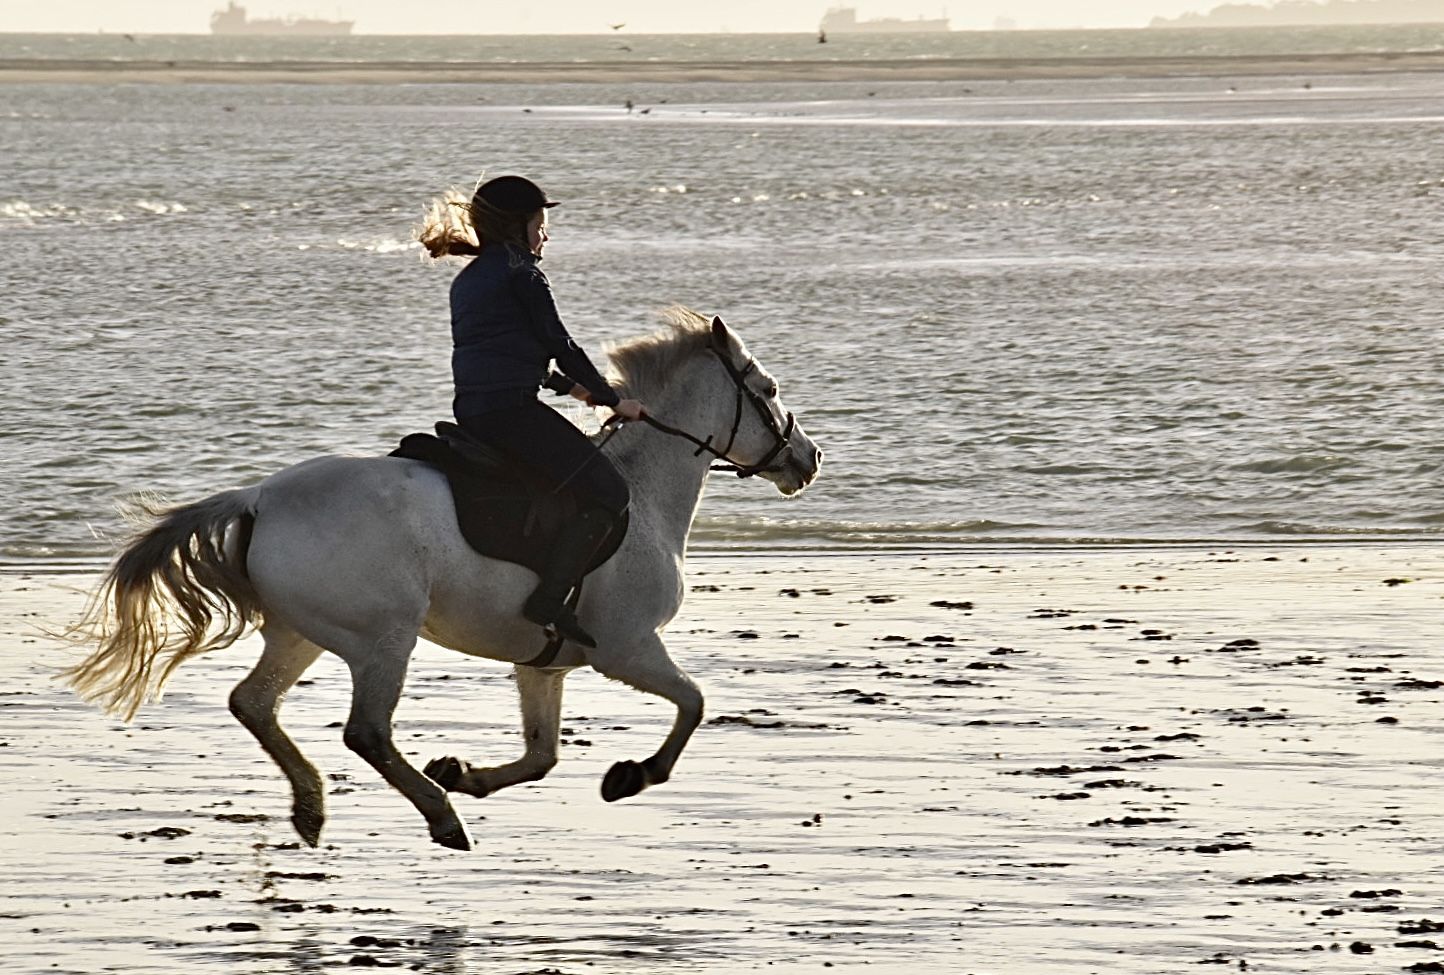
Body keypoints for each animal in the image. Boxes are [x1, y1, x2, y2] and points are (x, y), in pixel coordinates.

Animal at [62, 310, 822, 851]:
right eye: (768, 391)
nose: (809, 458)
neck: (643, 489)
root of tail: (260, 497)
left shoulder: (543, 664)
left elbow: (542, 755)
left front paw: (468, 773)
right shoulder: (627, 648)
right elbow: (692, 703)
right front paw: (630, 776)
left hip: (301, 632)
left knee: (254, 703)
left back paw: (314, 807)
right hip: (383, 639)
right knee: (365, 732)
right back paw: (440, 817)